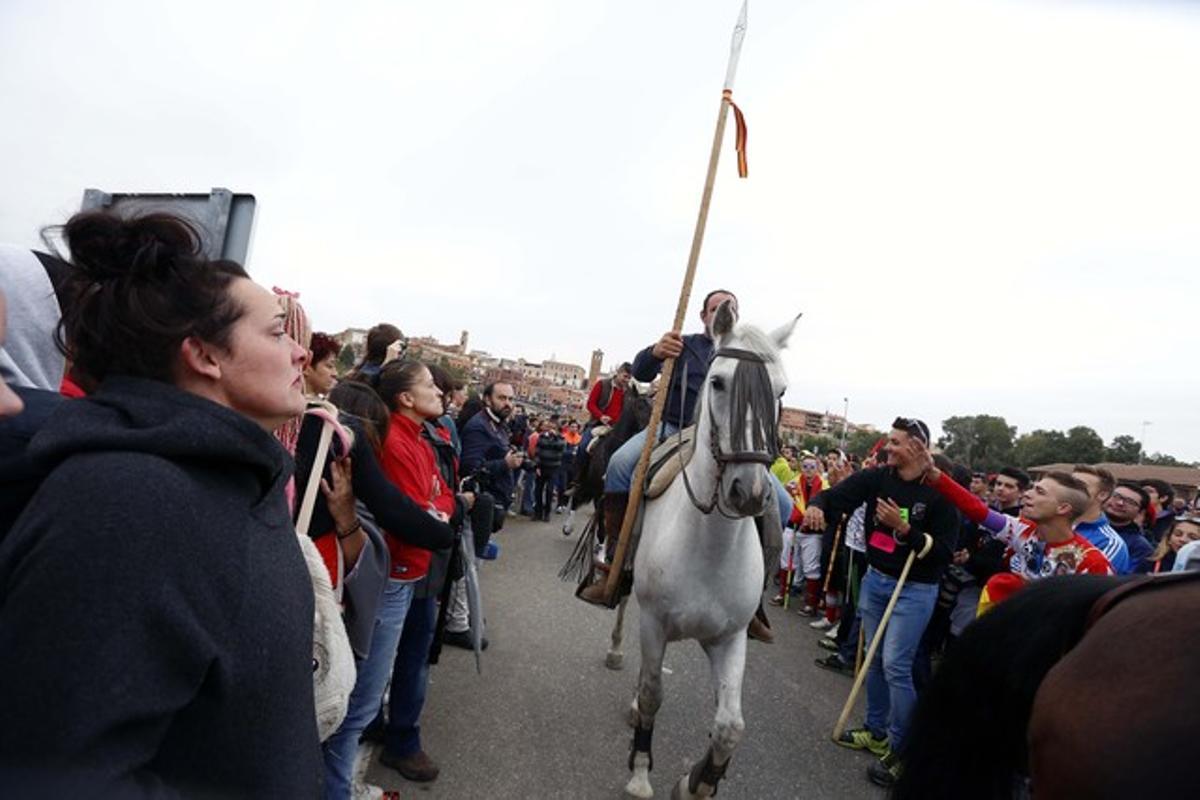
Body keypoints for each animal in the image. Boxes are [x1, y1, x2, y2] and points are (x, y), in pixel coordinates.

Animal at [619, 303, 796, 796]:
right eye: (717, 382)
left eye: (780, 390)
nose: (749, 492)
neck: (710, 546)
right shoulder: (654, 623)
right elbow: (652, 692)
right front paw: (641, 771)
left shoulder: (730, 638)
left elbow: (730, 726)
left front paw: (698, 782)